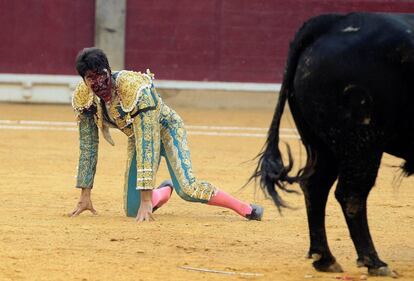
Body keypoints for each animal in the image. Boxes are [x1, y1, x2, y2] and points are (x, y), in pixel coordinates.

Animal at [254, 12, 412, 276]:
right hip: (361, 143)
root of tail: (334, 21)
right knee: (351, 195)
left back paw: (325, 258)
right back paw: (374, 262)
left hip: (323, 145)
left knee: (315, 185)